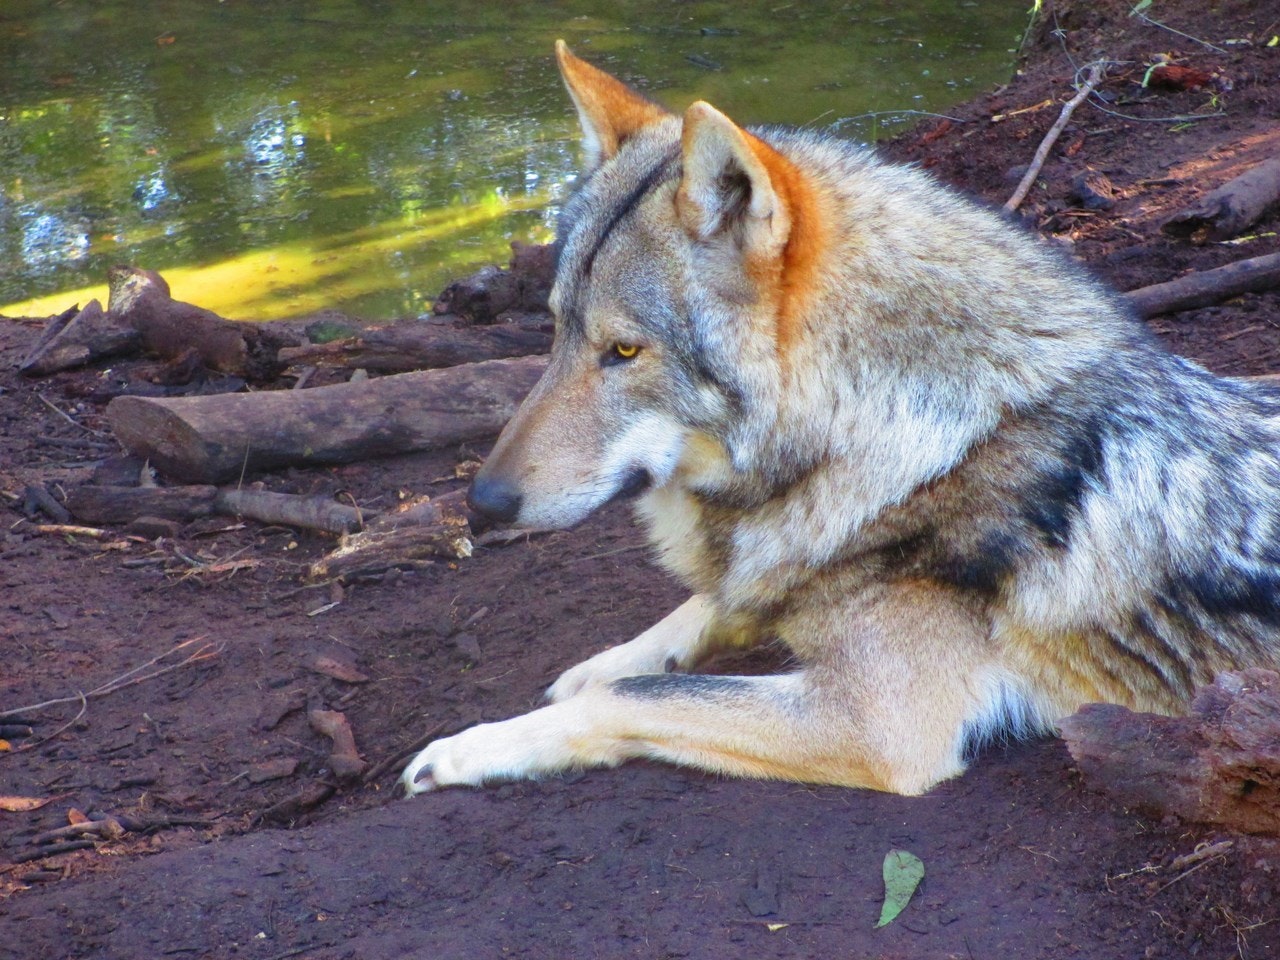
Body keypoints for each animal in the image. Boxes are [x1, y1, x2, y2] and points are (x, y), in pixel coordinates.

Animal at [402, 42, 1280, 797]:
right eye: (555, 329)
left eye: (622, 351)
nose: (481, 504)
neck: (908, 437)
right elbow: (692, 617)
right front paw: (606, 659)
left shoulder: (878, 725)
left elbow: (639, 695)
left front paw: (474, 746)